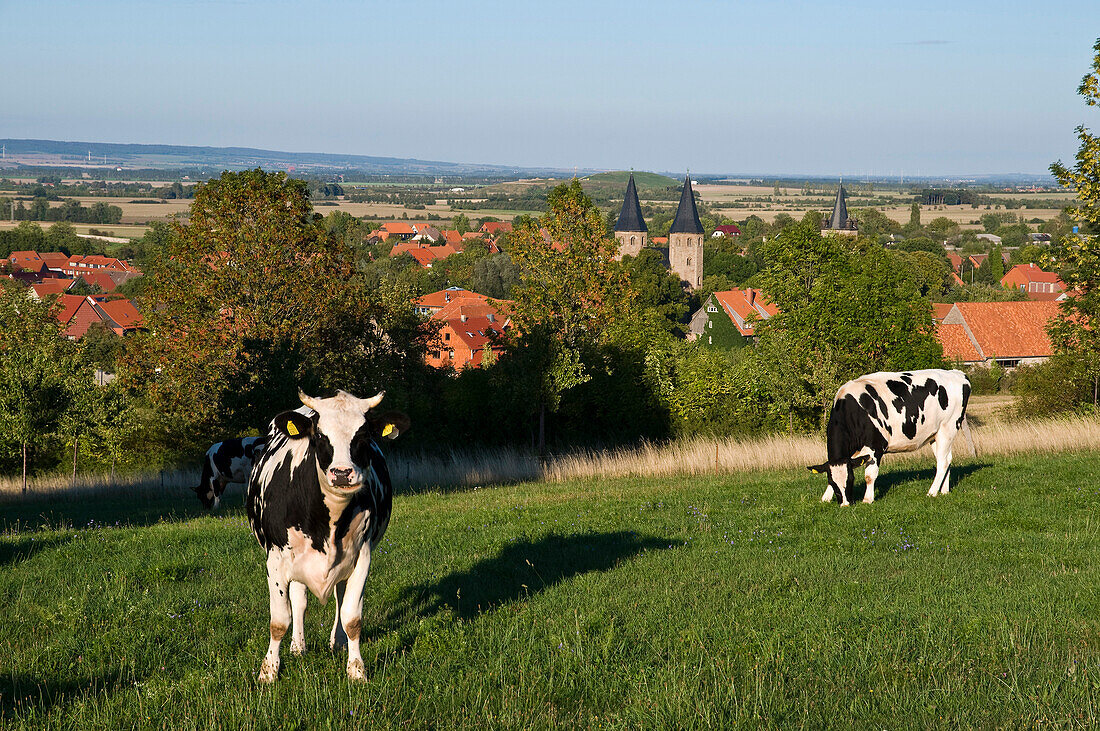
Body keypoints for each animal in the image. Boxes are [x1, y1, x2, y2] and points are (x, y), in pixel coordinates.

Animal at [245, 391, 409, 681]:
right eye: (320, 435)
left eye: (364, 436)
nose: (342, 473)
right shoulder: (275, 561)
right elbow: (279, 621)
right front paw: (269, 672)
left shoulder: (362, 557)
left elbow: (352, 617)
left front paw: (356, 670)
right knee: (299, 602)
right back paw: (298, 647)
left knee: (339, 598)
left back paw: (338, 643)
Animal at [805, 367, 976, 505]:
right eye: (834, 484)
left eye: (851, 480)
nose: (846, 505)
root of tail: (957, 373)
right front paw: (825, 498)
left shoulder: (875, 447)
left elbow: (869, 476)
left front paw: (867, 500)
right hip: (935, 434)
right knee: (947, 458)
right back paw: (944, 491)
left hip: (948, 428)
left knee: (942, 462)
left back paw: (932, 492)